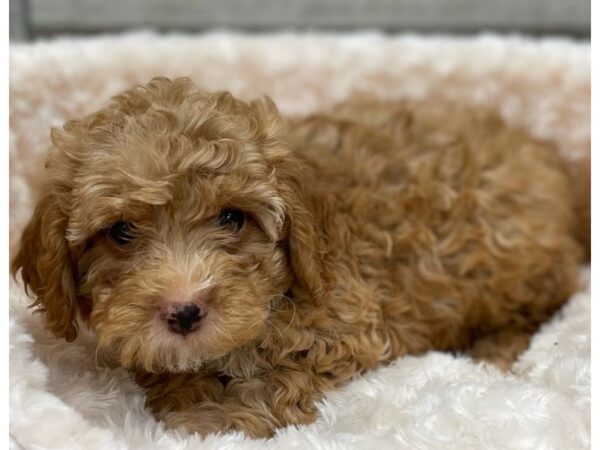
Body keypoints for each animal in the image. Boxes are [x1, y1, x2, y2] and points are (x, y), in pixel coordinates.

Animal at [11, 76, 588, 436]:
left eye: (232, 219)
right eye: (121, 232)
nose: (184, 310)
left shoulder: (348, 322)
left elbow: (279, 380)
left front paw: (211, 422)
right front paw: (184, 394)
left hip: (506, 259)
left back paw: (491, 351)